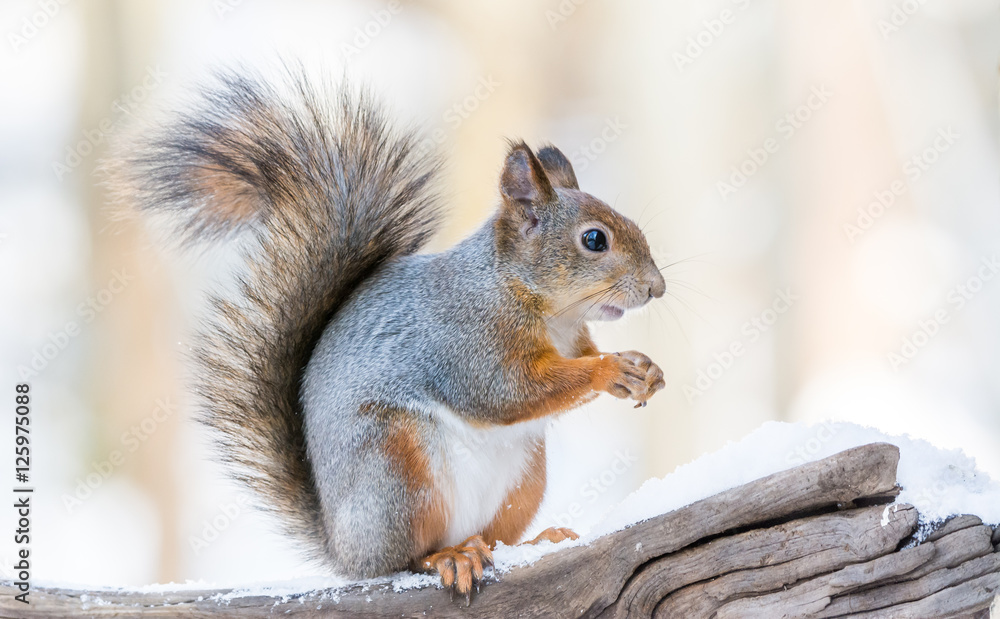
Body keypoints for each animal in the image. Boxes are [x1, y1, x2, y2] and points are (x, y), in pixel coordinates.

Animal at [116, 67, 666, 601]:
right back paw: (449, 557)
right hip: (397, 468)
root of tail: (342, 548)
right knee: (404, 558)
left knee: (494, 538)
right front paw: (610, 369)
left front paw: (646, 370)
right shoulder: (469, 341)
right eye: (594, 240)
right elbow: (507, 393)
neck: (547, 308)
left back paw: (532, 541)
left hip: (523, 479)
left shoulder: (571, 339)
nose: (657, 288)